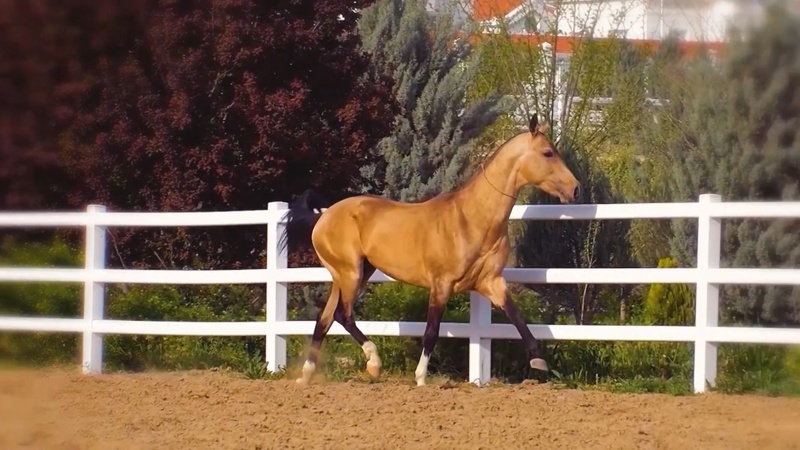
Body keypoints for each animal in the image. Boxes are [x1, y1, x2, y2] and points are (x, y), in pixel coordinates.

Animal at [279, 114, 580, 386]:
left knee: (324, 319)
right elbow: (431, 332)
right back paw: (373, 363)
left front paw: (539, 361)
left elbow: (517, 317)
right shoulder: (441, 284)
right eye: (548, 153)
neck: (471, 219)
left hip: (350, 275)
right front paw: (421, 377)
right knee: (343, 315)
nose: (575, 189)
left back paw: (306, 376)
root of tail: (324, 215)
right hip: (350, 272)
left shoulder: (491, 282)